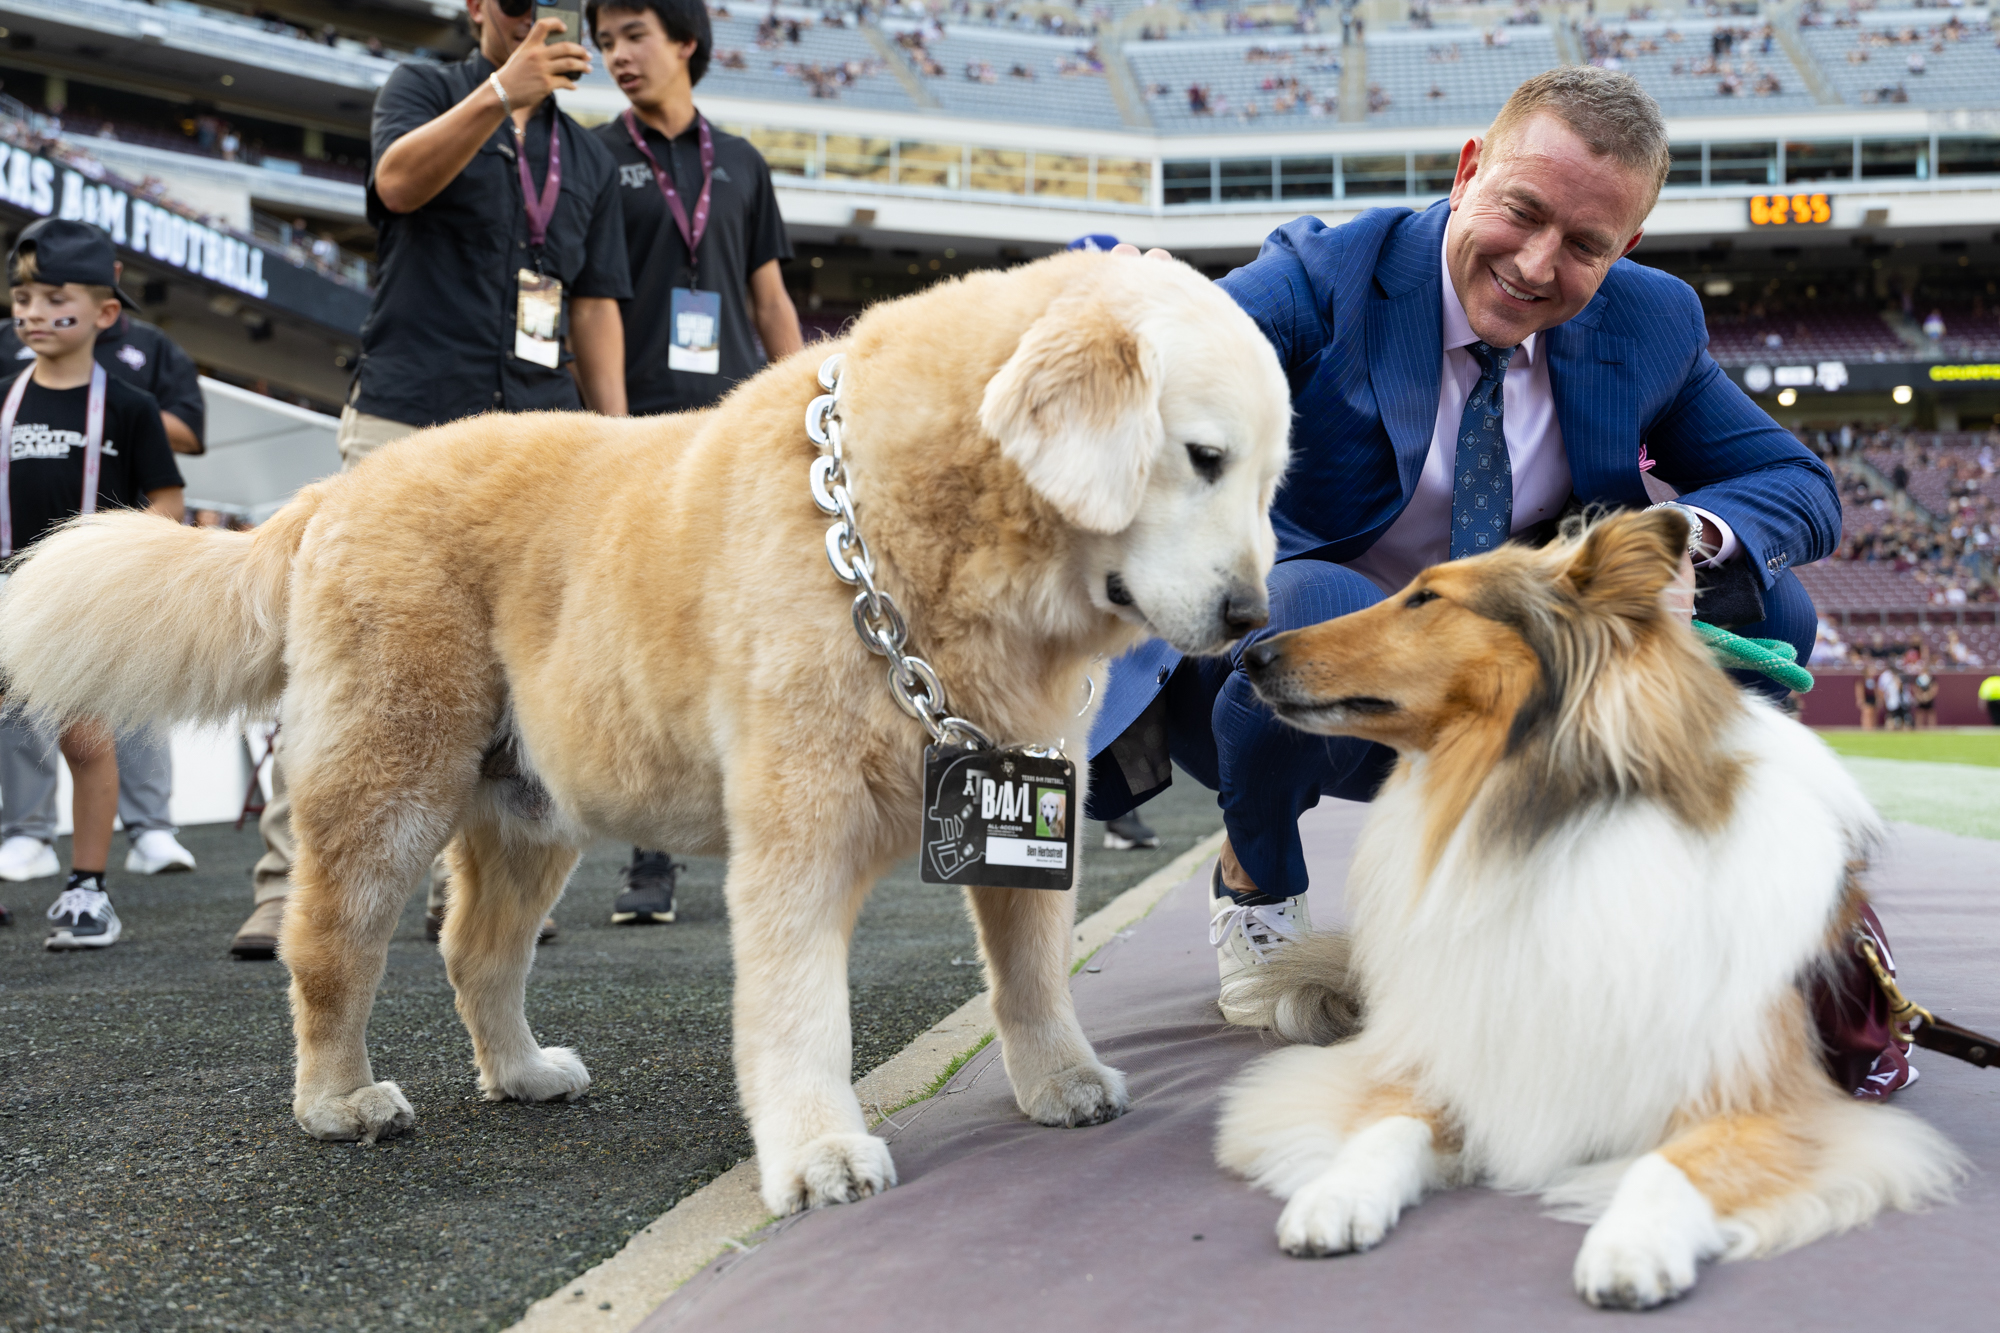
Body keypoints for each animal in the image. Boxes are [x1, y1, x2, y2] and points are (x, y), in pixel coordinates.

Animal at [0, 249, 1288, 1216]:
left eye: (1270, 479)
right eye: (1201, 458)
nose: (1248, 617)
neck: (915, 528)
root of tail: (328, 494)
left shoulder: (1014, 784)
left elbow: (1029, 966)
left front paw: (1060, 1079)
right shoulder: (797, 822)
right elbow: (798, 1006)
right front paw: (818, 1151)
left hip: (530, 810)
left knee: (476, 950)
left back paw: (521, 1071)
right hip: (388, 780)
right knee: (332, 949)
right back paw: (338, 1098)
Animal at [1208, 510, 1960, 1304]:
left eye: (1427, 598)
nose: (1252, 655)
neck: (1549, 823)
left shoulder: (1772, 1098)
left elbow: (1675, 1162)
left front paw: (1633, 1244)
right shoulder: (1443, 1055)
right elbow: (1383, 1125)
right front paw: (1335, 1193)